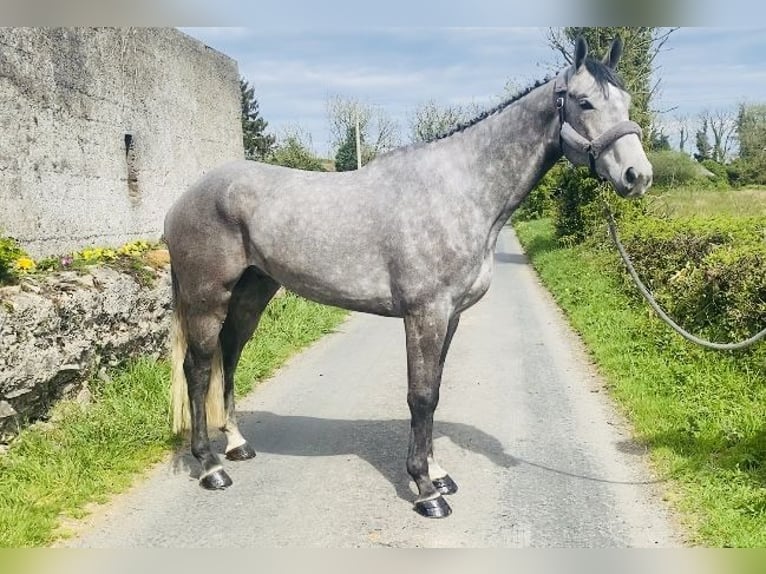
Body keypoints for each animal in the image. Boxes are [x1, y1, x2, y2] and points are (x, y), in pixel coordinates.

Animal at [164, 37, 656, 520]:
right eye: (585, 102)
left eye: (628, 101)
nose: (638, 176)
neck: (460, 191)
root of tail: (182, 200)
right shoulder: (425, 314)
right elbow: (420, 396)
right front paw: (425, 490)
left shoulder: (450, 315)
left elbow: (434, 389)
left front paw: (438, 473)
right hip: (207, 299)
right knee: (198, 369)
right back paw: (210, 466)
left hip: (251, 294)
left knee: (229, 357)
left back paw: (237, 444)